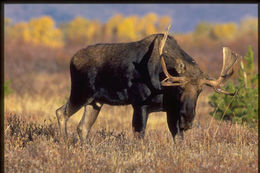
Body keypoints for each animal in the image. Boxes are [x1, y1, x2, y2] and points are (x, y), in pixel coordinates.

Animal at [55, 26, 239, 143]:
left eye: (200, 91)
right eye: (180, 89)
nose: (187, 120)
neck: (165, 89)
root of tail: (71, 60)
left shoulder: (171, 110)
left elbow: (178, 138)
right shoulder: (140, 104)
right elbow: (139, 136)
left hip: (95, 102)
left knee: (83, 127)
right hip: (80, 92)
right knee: (61, 112)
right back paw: (64, 143)